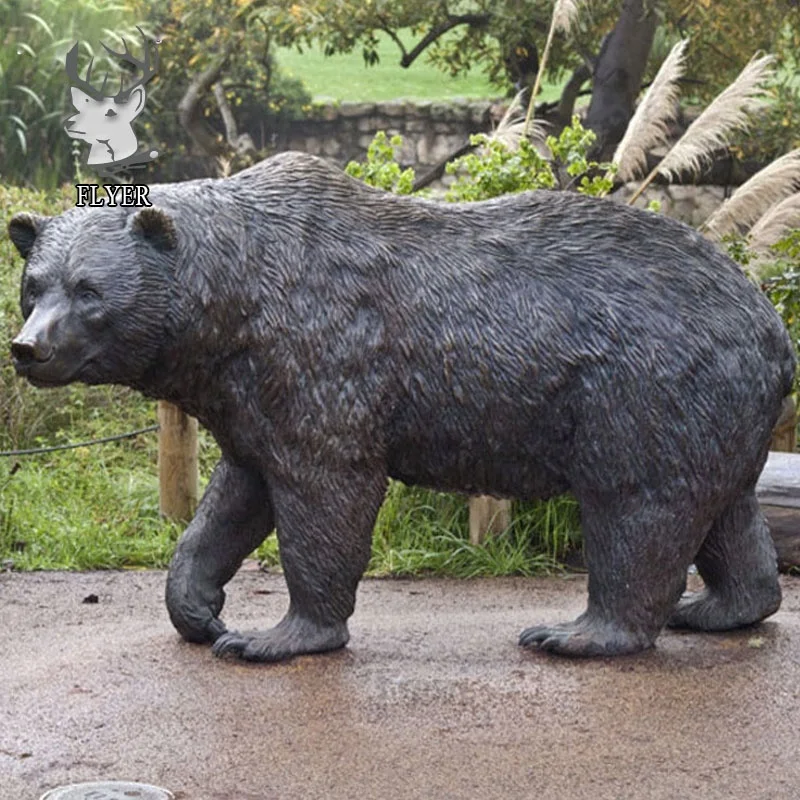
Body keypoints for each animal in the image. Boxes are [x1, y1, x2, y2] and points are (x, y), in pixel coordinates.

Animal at [8, 152, 795, 661]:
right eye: (35, 284)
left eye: (89, 290)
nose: (27, 348)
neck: (233, 307)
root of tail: (772, 326)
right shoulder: (248, 391)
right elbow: (238, 493)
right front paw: (199, 610)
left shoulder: (323, 356)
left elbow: (328, 491)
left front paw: (276, 635)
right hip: (710, 408)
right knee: (723, 506)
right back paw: (719, 607)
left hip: (644, 388)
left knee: (636, 503)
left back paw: (578, 632)